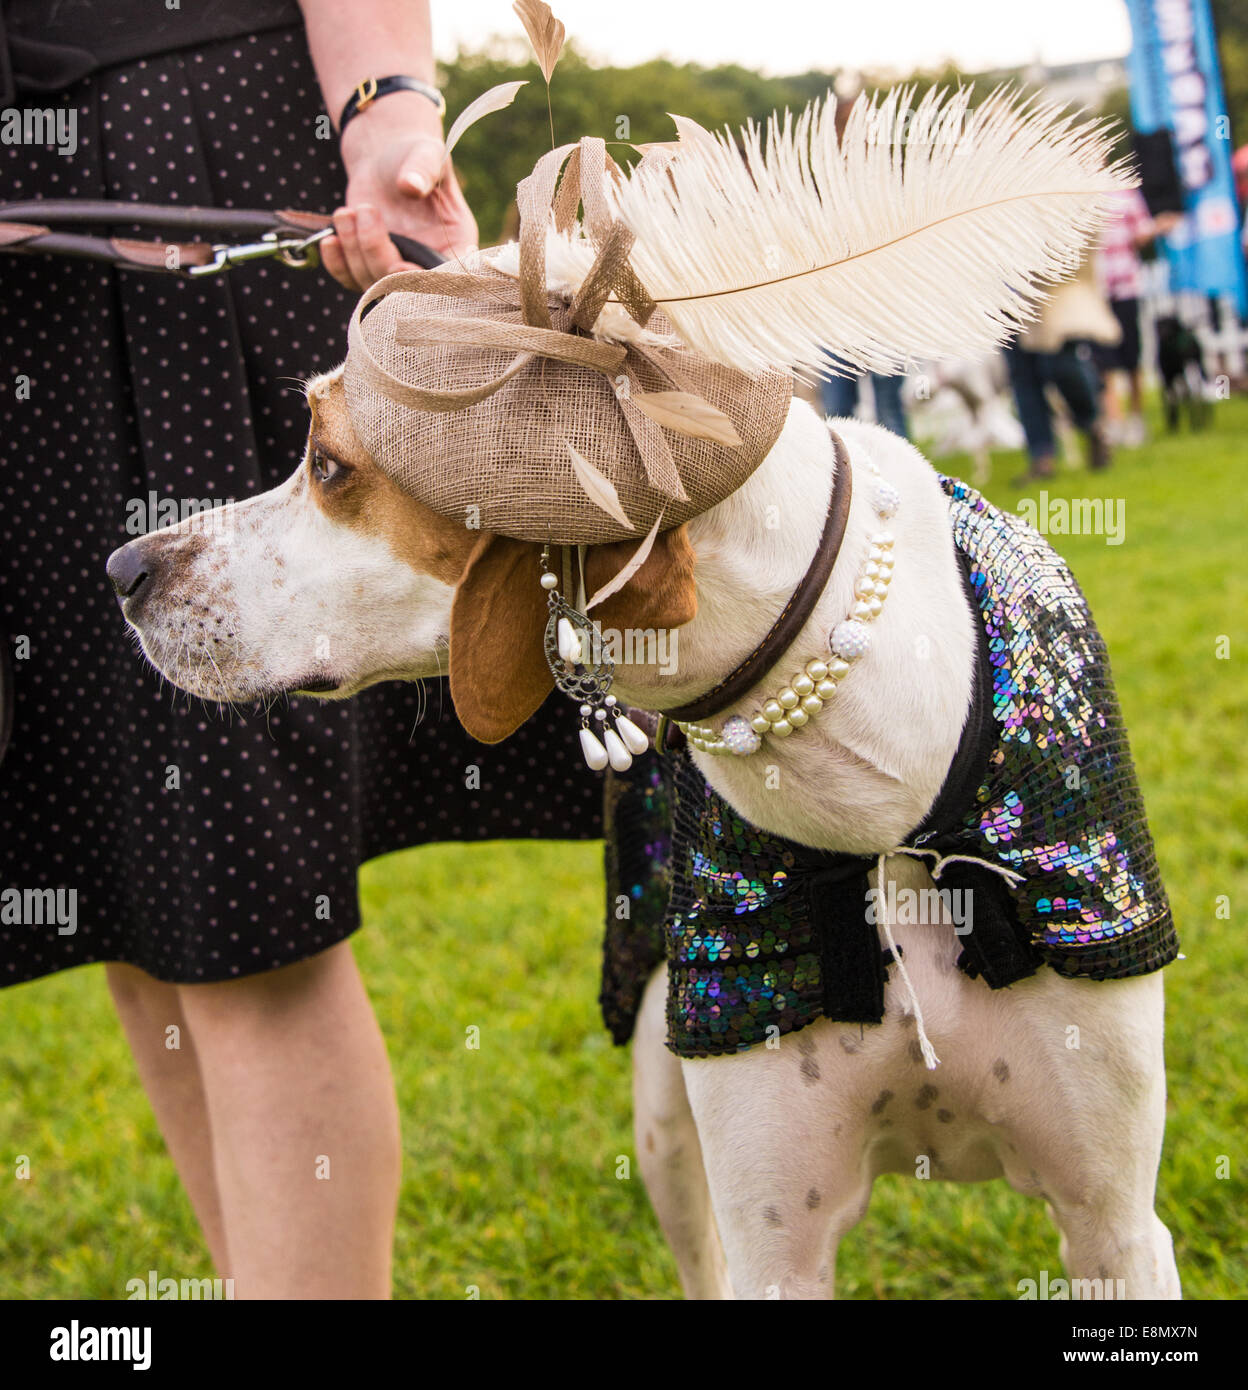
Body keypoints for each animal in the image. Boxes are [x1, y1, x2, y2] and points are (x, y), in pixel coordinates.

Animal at [107, 241, 1178, 1301]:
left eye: (329, 466)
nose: (124, 571)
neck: (873, 807)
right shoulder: (776, 1244)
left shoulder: (1116, 1227)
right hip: (666, 1116)